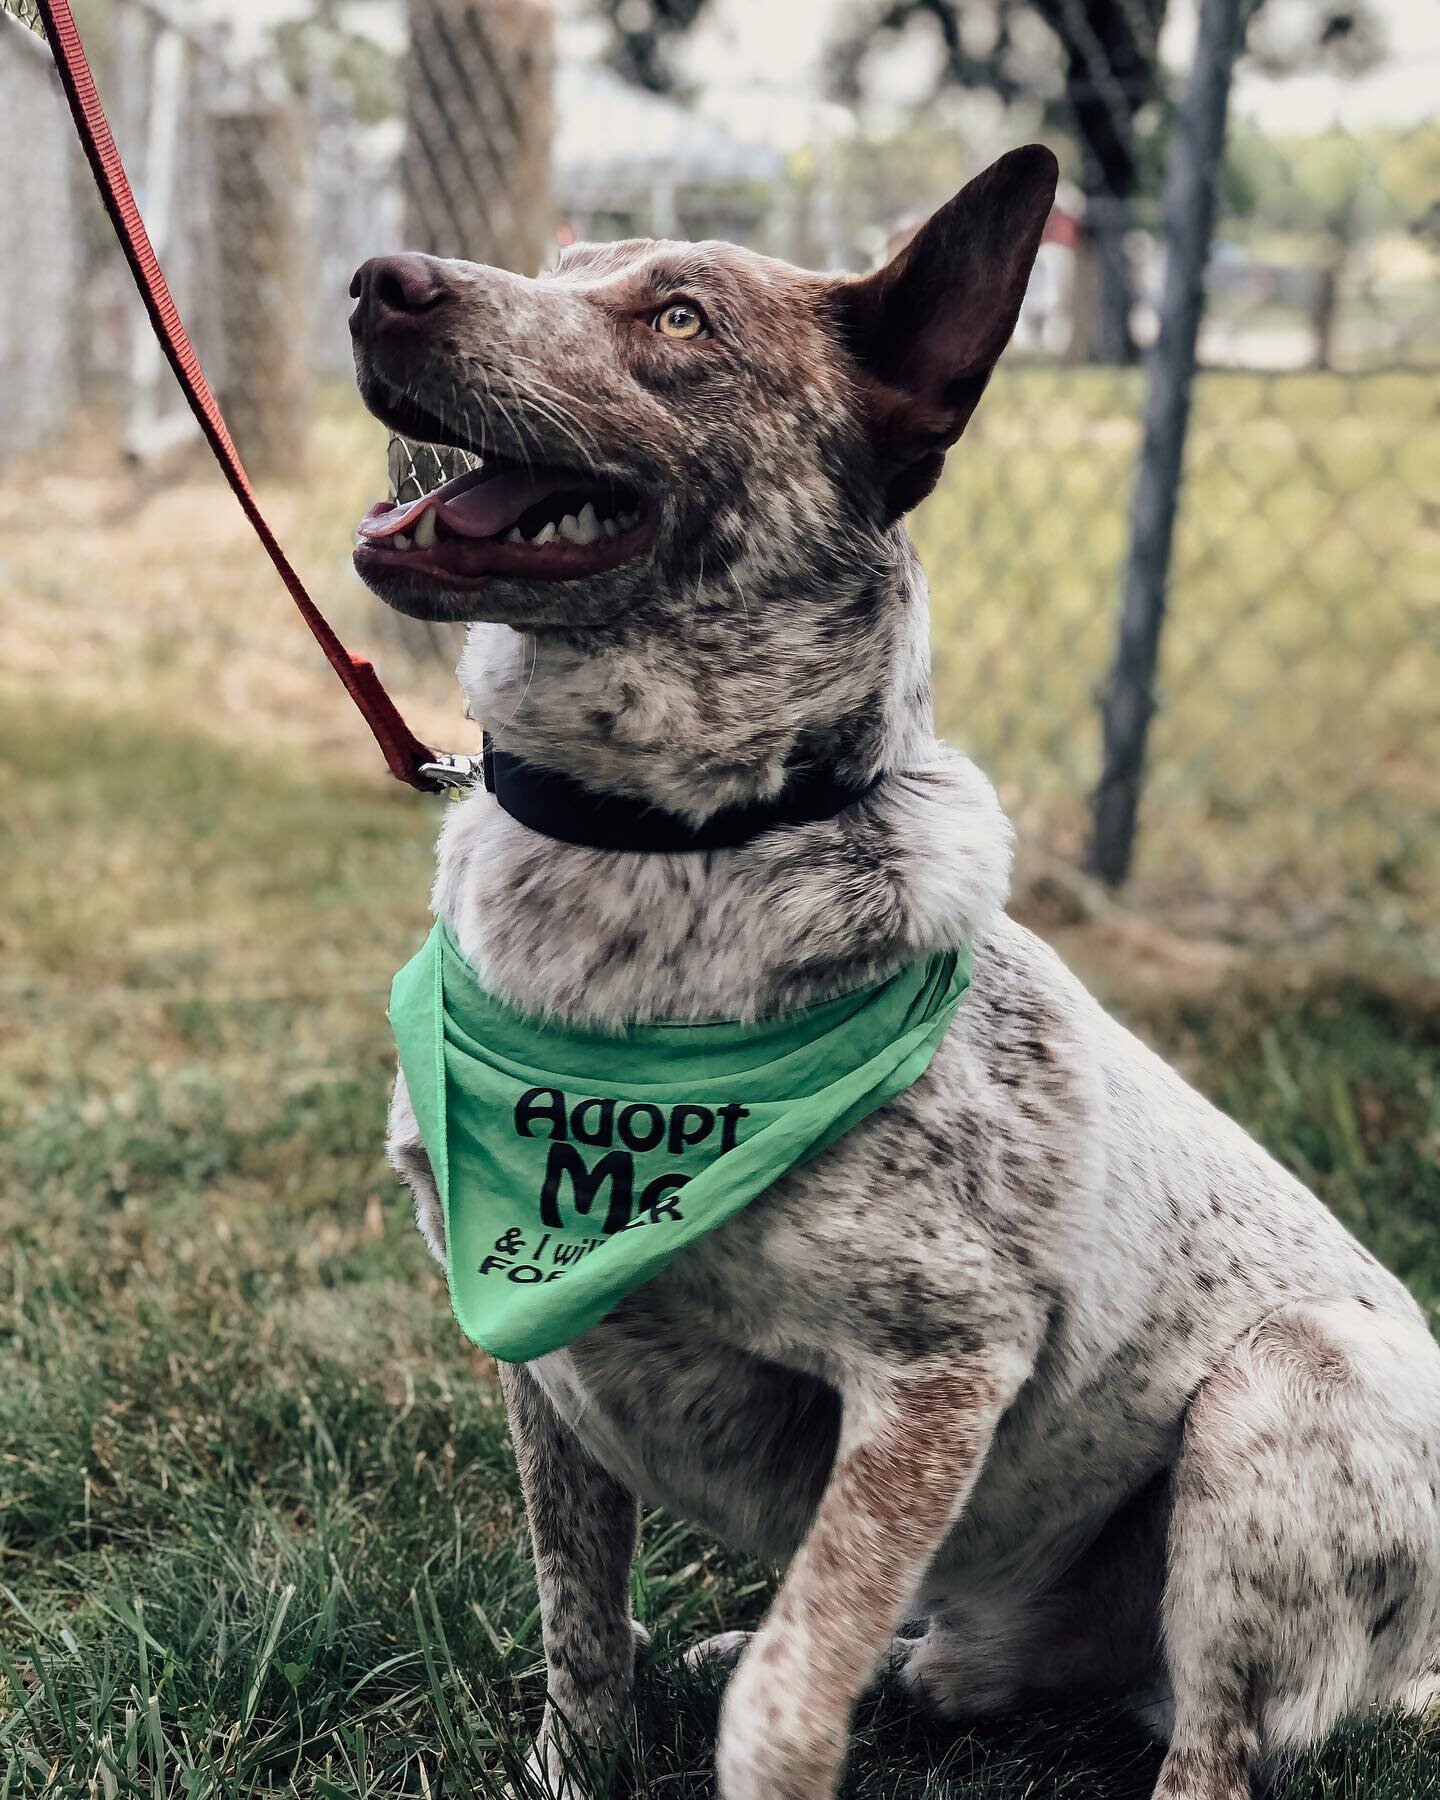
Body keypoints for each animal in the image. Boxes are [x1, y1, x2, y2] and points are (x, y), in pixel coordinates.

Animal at [349, 151, 1440, 1800]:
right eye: (561, 263)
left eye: (679, 315)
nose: (376, 281)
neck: (670, 847)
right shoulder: (537, 1363)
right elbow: (578, 1626)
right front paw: (584, 1751)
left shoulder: (934, 1373)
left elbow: (791, 1691)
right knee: (943, 1668)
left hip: (1287, 1389)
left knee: (1213, 1749)